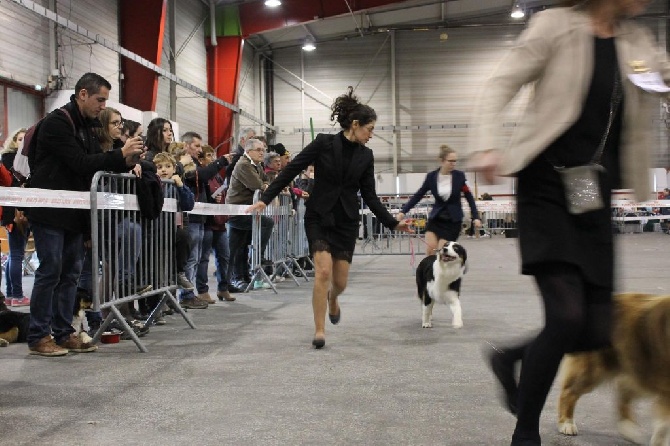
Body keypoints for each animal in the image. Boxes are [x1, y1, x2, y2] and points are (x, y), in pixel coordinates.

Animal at [560, 292, 670, 446]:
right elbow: (664, 426)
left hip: (636, 369)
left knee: (623, 394)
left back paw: (629, 430)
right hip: (594, 370)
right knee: (569, 392)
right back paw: (566, 424)